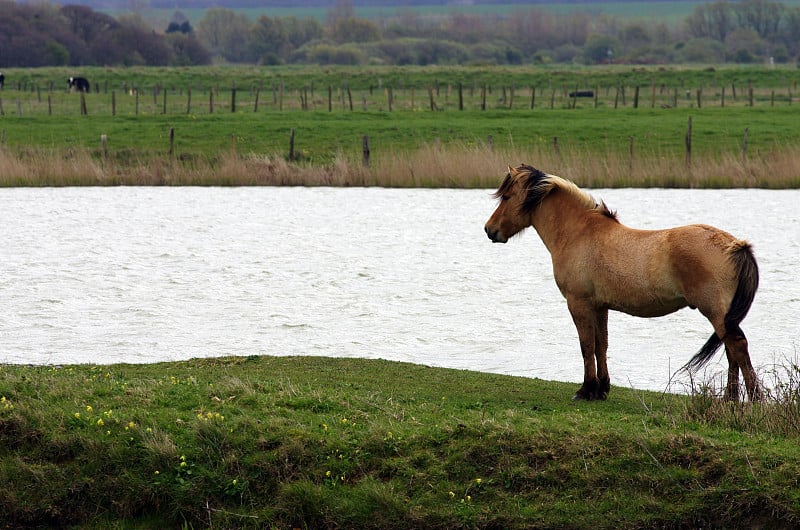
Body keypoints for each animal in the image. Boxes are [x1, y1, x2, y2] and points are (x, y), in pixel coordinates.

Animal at [484, 163, 760, 398]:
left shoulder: (578, 303)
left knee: (737, 347)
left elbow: (586, 345)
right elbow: (601, 345)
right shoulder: (599, 306)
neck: (579, 233)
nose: (489, 230)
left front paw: (586, 390)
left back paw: (753, 400)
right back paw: (730, 400)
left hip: (716, 312)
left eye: (506, 197)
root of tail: (735, 245)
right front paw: (602, 389)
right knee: (731, 352)